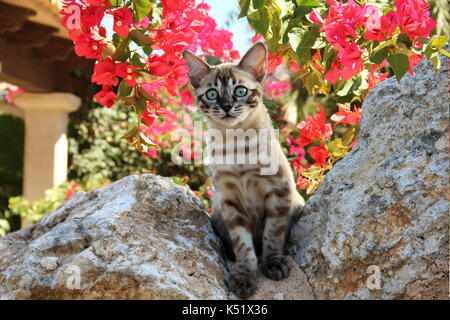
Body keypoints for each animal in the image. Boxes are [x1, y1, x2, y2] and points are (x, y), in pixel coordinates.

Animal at [183, 42, 306, 298]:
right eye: (212, 94)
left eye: (240, 91)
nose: (227, 106)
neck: (236, 144)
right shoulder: (230, 200)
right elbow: (243, 246)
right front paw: (244, 278)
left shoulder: (278, 190)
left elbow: (272, 235)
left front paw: (273, 265)